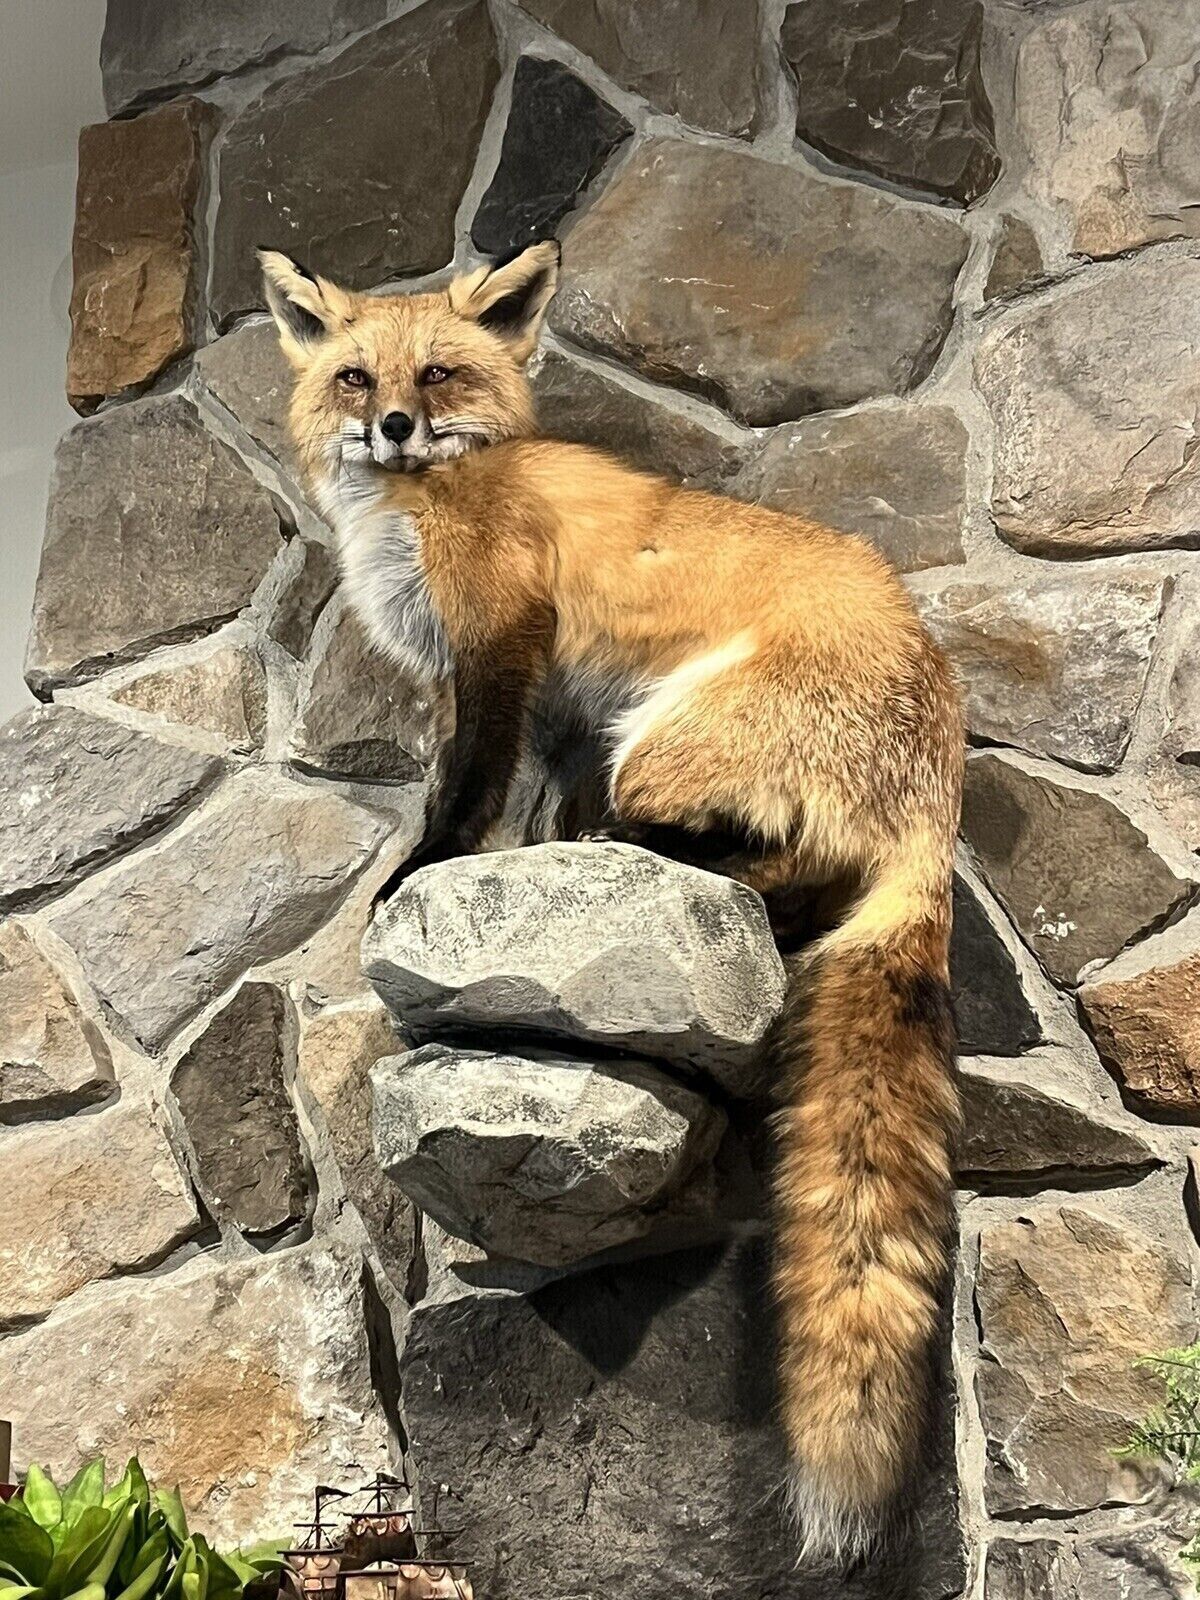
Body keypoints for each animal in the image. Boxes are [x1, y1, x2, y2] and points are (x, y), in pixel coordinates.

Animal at [260, 239, 964, 1567]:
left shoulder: (502, 638)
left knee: (747, 859)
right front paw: (505, 853)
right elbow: (522, 792)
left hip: (663, 741)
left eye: (438, 373)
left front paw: (418, 877)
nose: (390, 426)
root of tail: (938, 759)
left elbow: (461, 795)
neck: (424, 502)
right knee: (789, 881)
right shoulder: (547, 697)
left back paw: (638, 851)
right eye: (356, 375)